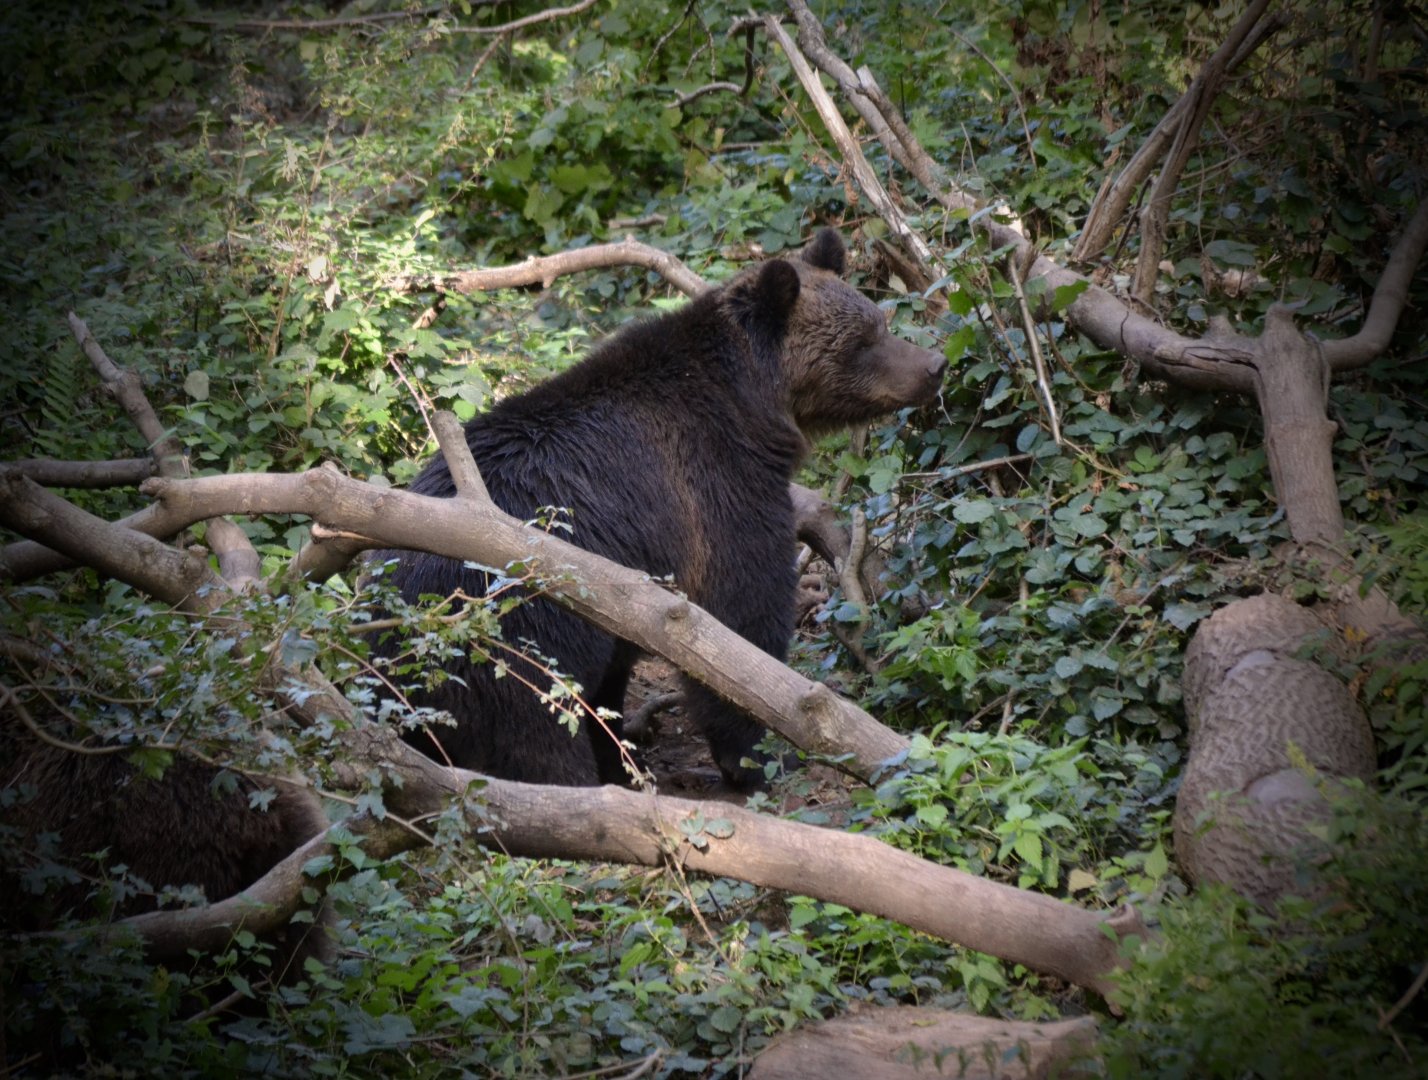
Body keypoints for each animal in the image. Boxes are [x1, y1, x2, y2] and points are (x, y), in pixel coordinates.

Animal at [372, 228, 945, 789]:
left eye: (879, 321)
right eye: (862, 341)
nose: (933, 365)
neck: (751, 405)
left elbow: (617, 672)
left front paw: (628, 757)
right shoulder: (715, 489)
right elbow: (741, 614)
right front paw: (754, 756)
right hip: (516, 632)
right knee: (535, 730)